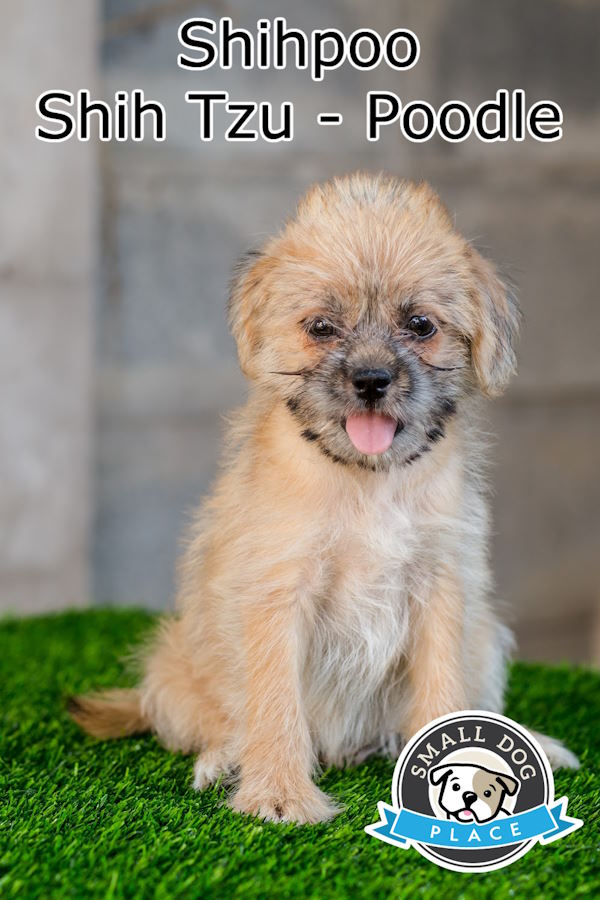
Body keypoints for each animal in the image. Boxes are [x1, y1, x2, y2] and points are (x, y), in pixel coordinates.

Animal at [69, 174, 576, 824]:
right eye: (320, 328)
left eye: (421, 325)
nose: (371, 380)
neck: (367, 478)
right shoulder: (278, 594)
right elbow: (275, 701)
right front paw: (278, 793)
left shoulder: (441, 589)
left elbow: (444, 689)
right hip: (172, 667)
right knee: (217, 722)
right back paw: (225, 760)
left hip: (485, 636)